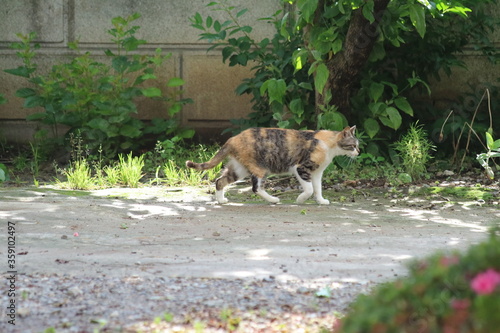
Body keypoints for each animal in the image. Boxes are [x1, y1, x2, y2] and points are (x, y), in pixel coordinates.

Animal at [185, 126, 360, 204]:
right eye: (353, 145)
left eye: (358, 145)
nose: (358, 152)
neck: (329, 145)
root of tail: (232, 139)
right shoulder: (300, 168)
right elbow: (310, 189)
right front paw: (300, 199)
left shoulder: (317, 173)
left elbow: (317, 188)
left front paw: (321, 201)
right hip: (261, 168)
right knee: (256, 188)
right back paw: (273, 199)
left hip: (240, 168)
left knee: (220, 181)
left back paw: (221, 200)